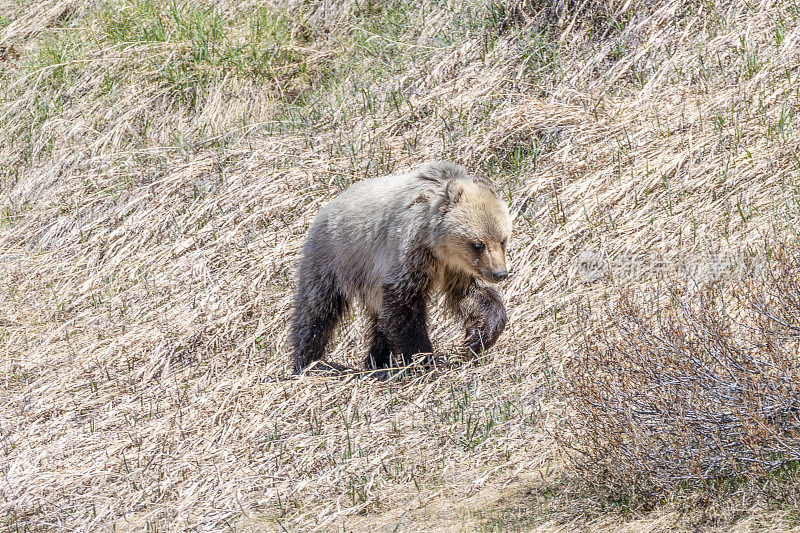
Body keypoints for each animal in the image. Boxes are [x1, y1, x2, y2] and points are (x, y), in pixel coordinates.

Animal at [290, 160, 510, 372]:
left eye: (503, 240)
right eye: (478, 244)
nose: (500, 273)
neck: (437, 246)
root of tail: (324, 209)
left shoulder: (456, 269)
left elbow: (470, 295)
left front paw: (477, 336)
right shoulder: (409, 253)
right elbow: (404, 307)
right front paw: (423, 359)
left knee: (379, 320)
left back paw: (376, 360)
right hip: (335, 259)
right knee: (317, 310)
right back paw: (309, 362)